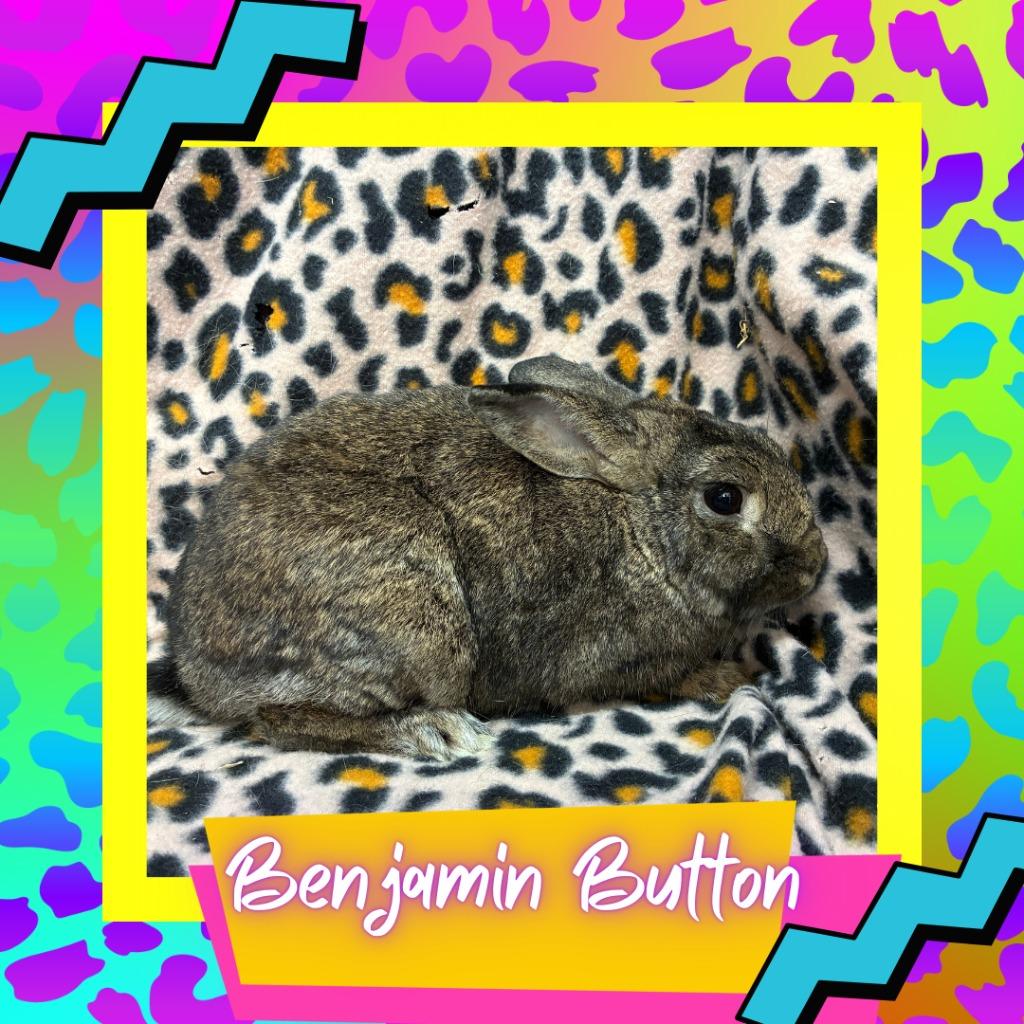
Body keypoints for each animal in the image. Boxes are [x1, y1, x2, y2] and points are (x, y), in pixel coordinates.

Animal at [162, 354, 825, 761]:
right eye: (724, 498)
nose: (815, 563)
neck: (644, 530)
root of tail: (194, 667)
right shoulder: (617, 661)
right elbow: (668, 679)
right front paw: (730, 678)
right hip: (412, 633)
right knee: (279, 719)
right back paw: (436, 731)